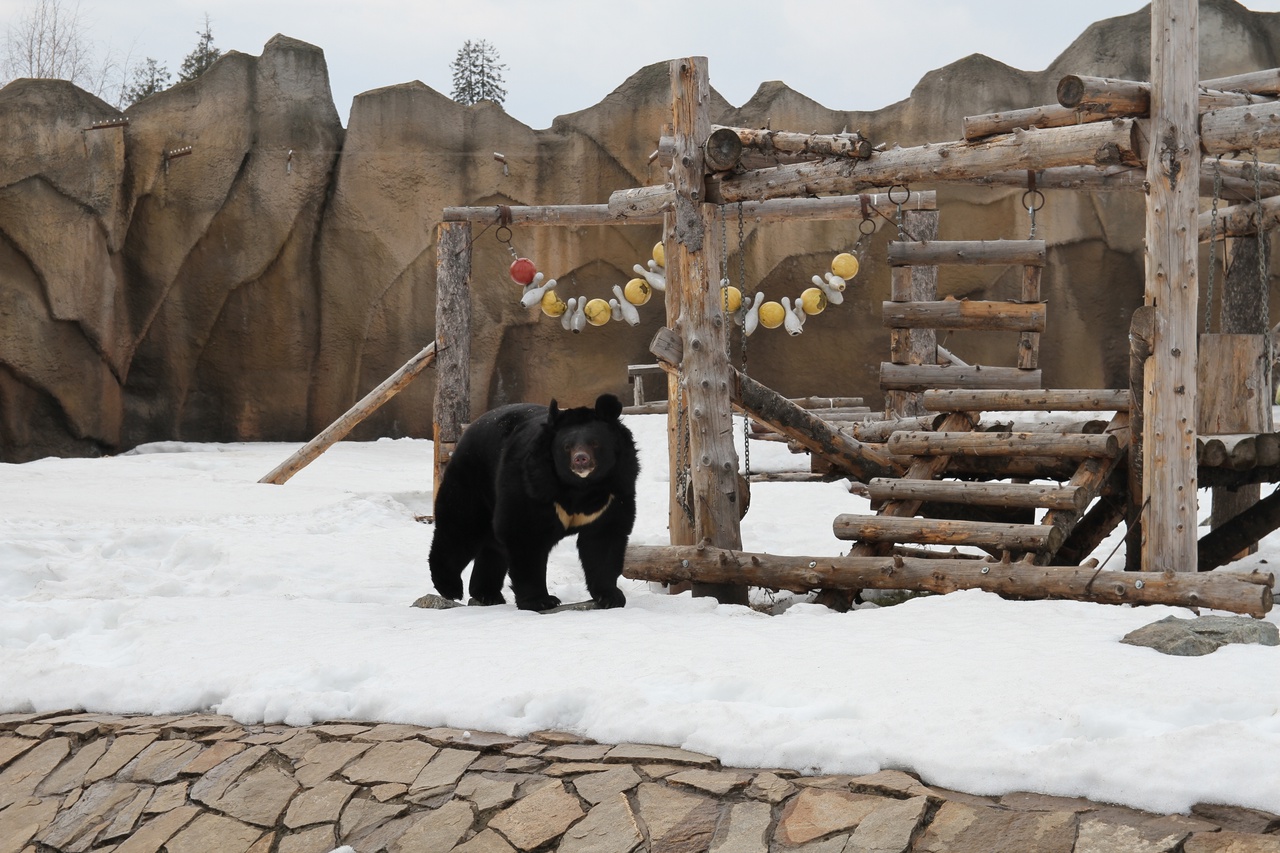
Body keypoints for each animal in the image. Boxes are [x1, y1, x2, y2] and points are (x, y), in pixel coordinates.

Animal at [427, 394, 637, 607]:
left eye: (595, 443)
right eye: (567, 447)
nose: (581, 459)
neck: (580, 487)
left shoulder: (614, 491)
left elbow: (603, 540)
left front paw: (611, 596)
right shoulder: (533, 485)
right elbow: (525, 534)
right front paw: (541, 601)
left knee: (492, 544)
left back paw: (487, 594)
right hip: (475, 478)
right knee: (461, 527)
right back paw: (450, 587)